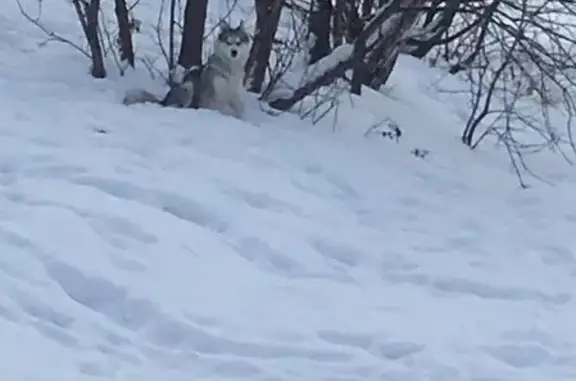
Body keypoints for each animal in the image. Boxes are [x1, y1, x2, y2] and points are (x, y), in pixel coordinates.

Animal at [122, 20, 251, 119]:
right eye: (228, 42)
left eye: (238, 43)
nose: (234, 52)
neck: (230, 69)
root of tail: (163, 101)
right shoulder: (214, 95)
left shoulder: (235, 96)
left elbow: (240, 111)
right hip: (188, 87)